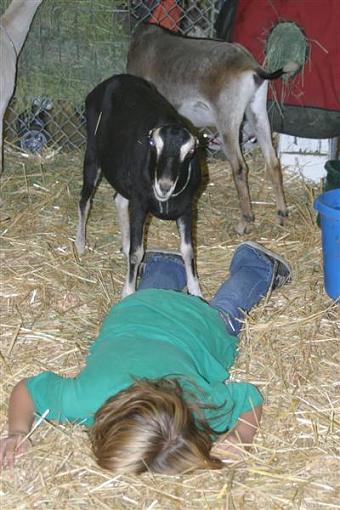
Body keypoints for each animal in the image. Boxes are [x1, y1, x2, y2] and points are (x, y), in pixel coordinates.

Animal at [75, 76, 202, 298]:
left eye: (190, 152)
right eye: (153, 145)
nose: (164, 186)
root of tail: (113, 79)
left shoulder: (187, 208)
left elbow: (188, 250)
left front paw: (197, 292)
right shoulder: (140, 205)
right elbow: (137, 252)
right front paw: (128, 291)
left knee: (119, 199)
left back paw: (123, 246)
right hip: (93, 152)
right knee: (85, 200)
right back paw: (81, 244)